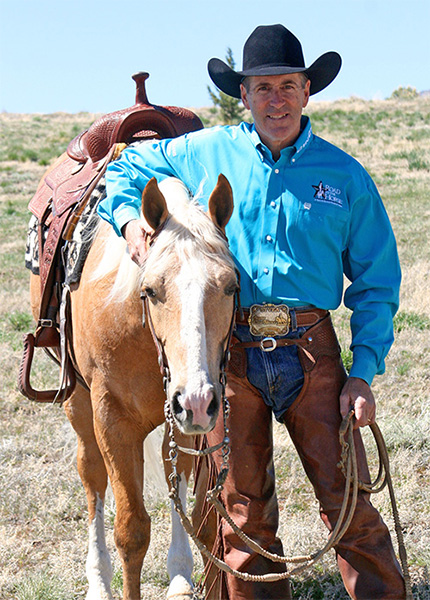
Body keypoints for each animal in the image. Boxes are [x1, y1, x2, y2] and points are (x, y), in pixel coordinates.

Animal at [29, 171, 239, 596]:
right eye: (151, 290)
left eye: (230, 286)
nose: (198, 400)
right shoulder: (112, 419)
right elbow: (131, 531)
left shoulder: (184, 420)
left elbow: (185, 502)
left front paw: (181, 578)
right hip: (79, 403)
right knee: (91, 474)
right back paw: (98, 581)